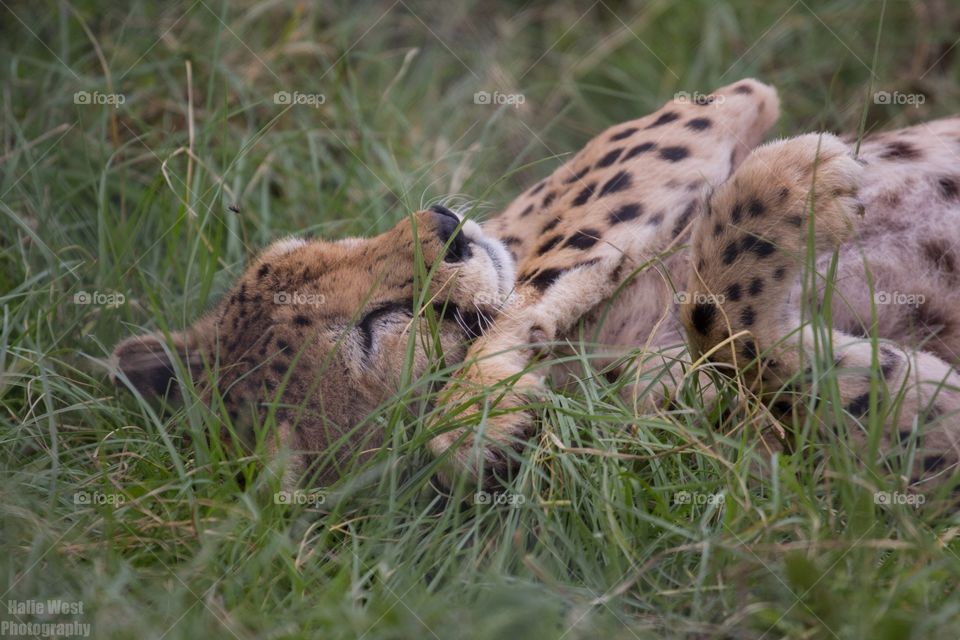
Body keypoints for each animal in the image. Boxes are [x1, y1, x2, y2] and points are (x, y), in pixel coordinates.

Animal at [114, 79, 960, 490]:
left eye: (315, 253)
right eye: (378, 328)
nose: (447, 225)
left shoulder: (702, 115)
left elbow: (555, 272)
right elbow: (735, 333)